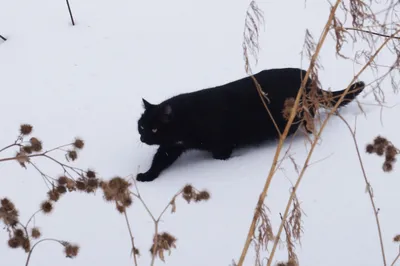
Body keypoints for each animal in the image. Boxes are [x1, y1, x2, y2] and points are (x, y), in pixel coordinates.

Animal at [137, 67, 366, 182]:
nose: (142, 138)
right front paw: (146, 176)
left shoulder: (221, 143)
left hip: (298, 116)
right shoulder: (171, 146)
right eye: (141, 126)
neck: (185, 120)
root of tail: (310, 79)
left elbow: (220, 156)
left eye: (154, 128)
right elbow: (159, 161)